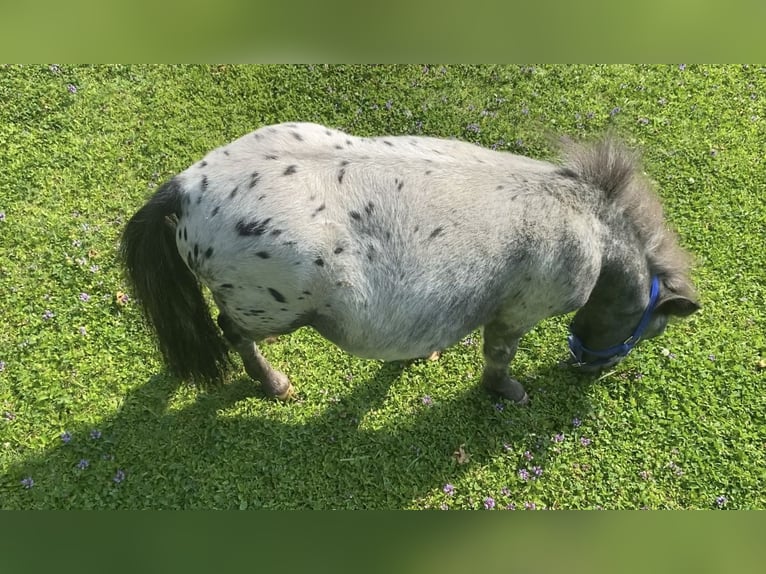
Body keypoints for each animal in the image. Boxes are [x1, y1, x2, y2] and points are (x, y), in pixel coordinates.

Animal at [121, 122, 700, 405]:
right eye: (652, 330)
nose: (592, 368)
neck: (588, 227)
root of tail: (185, 190)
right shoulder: (517, 313)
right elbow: (499, 358)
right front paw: (506, 393)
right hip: (269, 311)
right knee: (231, 333)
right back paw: (273, 383)